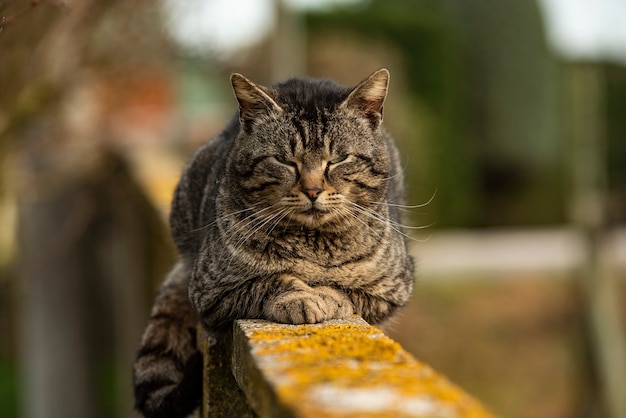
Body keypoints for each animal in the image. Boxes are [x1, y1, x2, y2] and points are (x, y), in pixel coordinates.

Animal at [132, 69, 414, 418]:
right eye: (284, 161)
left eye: (338, 159)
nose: (312, 190)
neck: (312, 242)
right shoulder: (211, 292)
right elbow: (270, 280)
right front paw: (300, 297)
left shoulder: (393, 289)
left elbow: (343, 289)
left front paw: (324, 295)